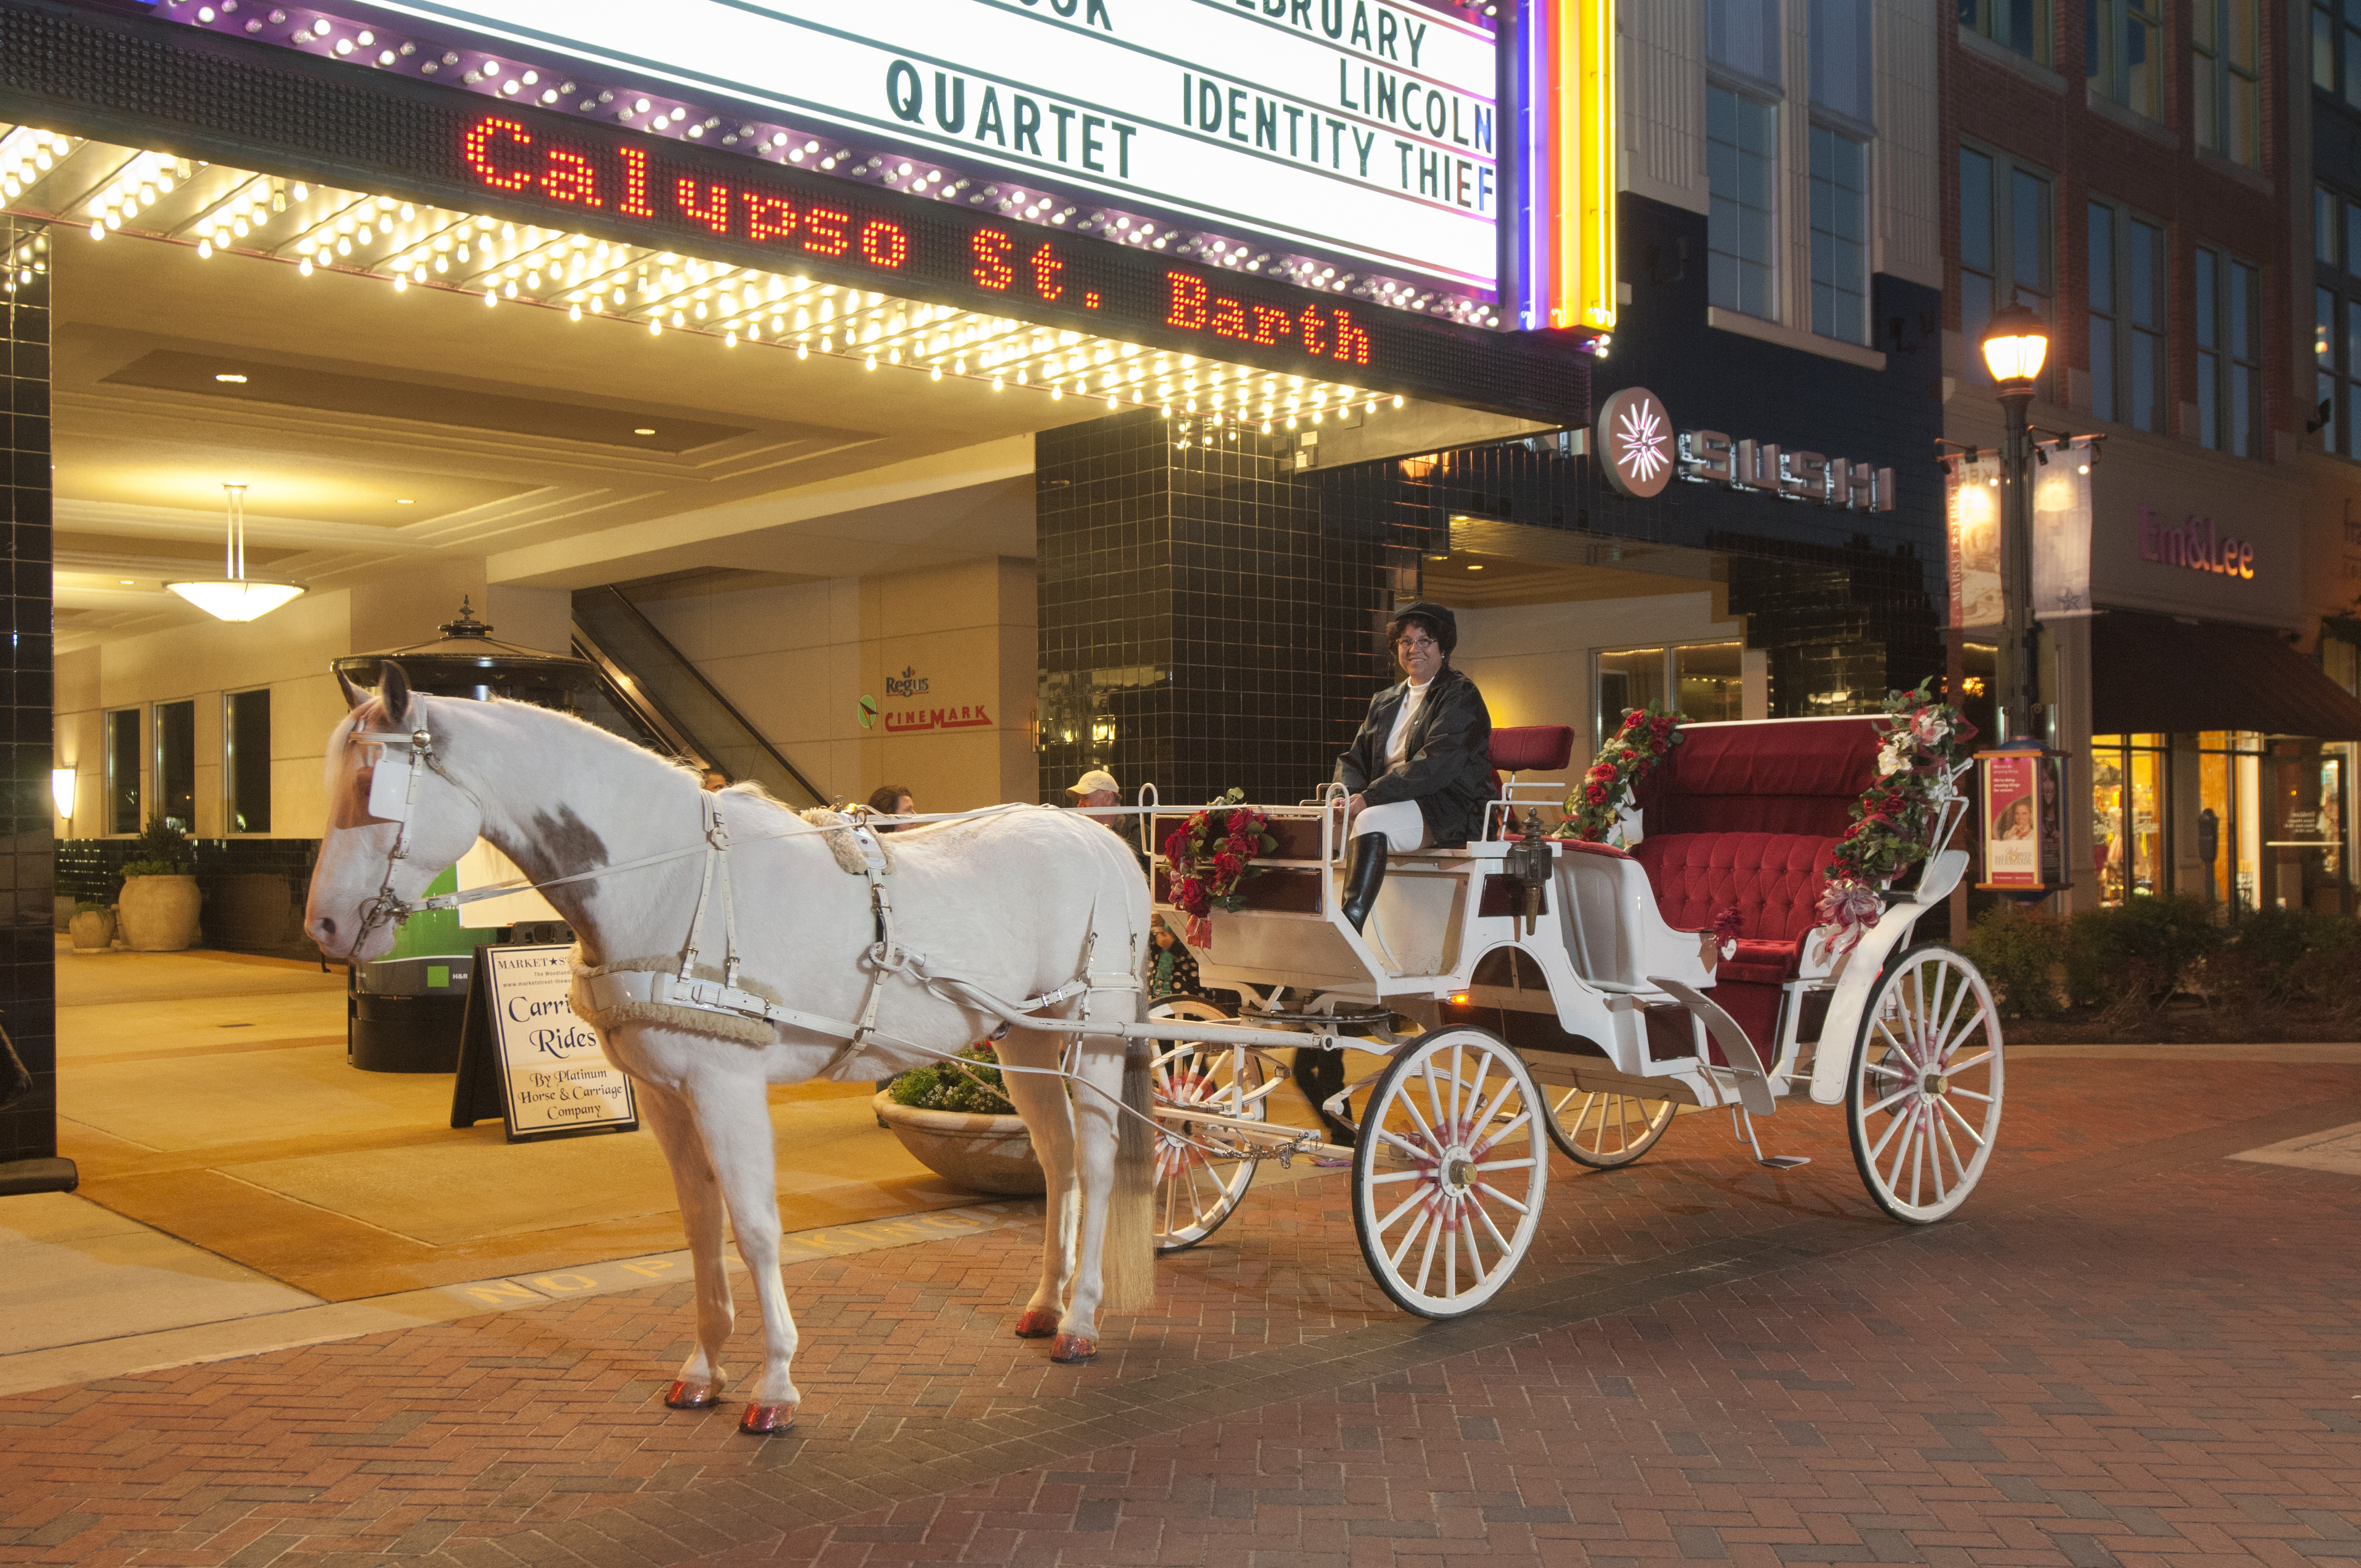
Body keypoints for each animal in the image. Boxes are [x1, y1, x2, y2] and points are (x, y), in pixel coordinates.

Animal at [309, 661, 1157, 1436]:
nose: (322, 926)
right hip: (1028, 1041)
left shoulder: (727, 1085)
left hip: (1092, 1034)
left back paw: (1082, 1321)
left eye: (369, 783)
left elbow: (753, 1226)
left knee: (1097, 1165)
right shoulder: (665, 1095)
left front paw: (774, 1382)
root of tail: (1100, 842)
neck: (673, 878)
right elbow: (699, 1226)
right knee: (1058, 1164)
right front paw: (702, 1369)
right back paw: (1045, 1305)